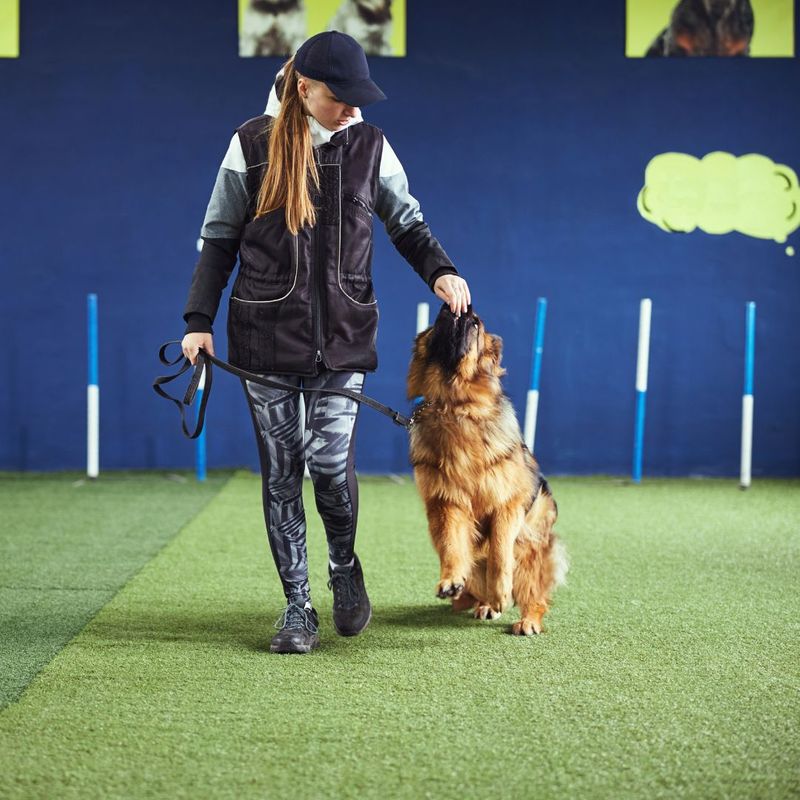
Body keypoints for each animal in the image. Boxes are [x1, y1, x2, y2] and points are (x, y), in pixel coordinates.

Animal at [406, 304, 568, 636]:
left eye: (476, 325)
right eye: (437, 321)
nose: (456, 306)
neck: (454, 405)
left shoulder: (506, 505)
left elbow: (499, 552)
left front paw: (501, 593)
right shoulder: (448, 504)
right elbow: (452, 545)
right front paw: (451, 579)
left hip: (532, 548)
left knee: (535, 595)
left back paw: (526, 618)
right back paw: (483, 604)